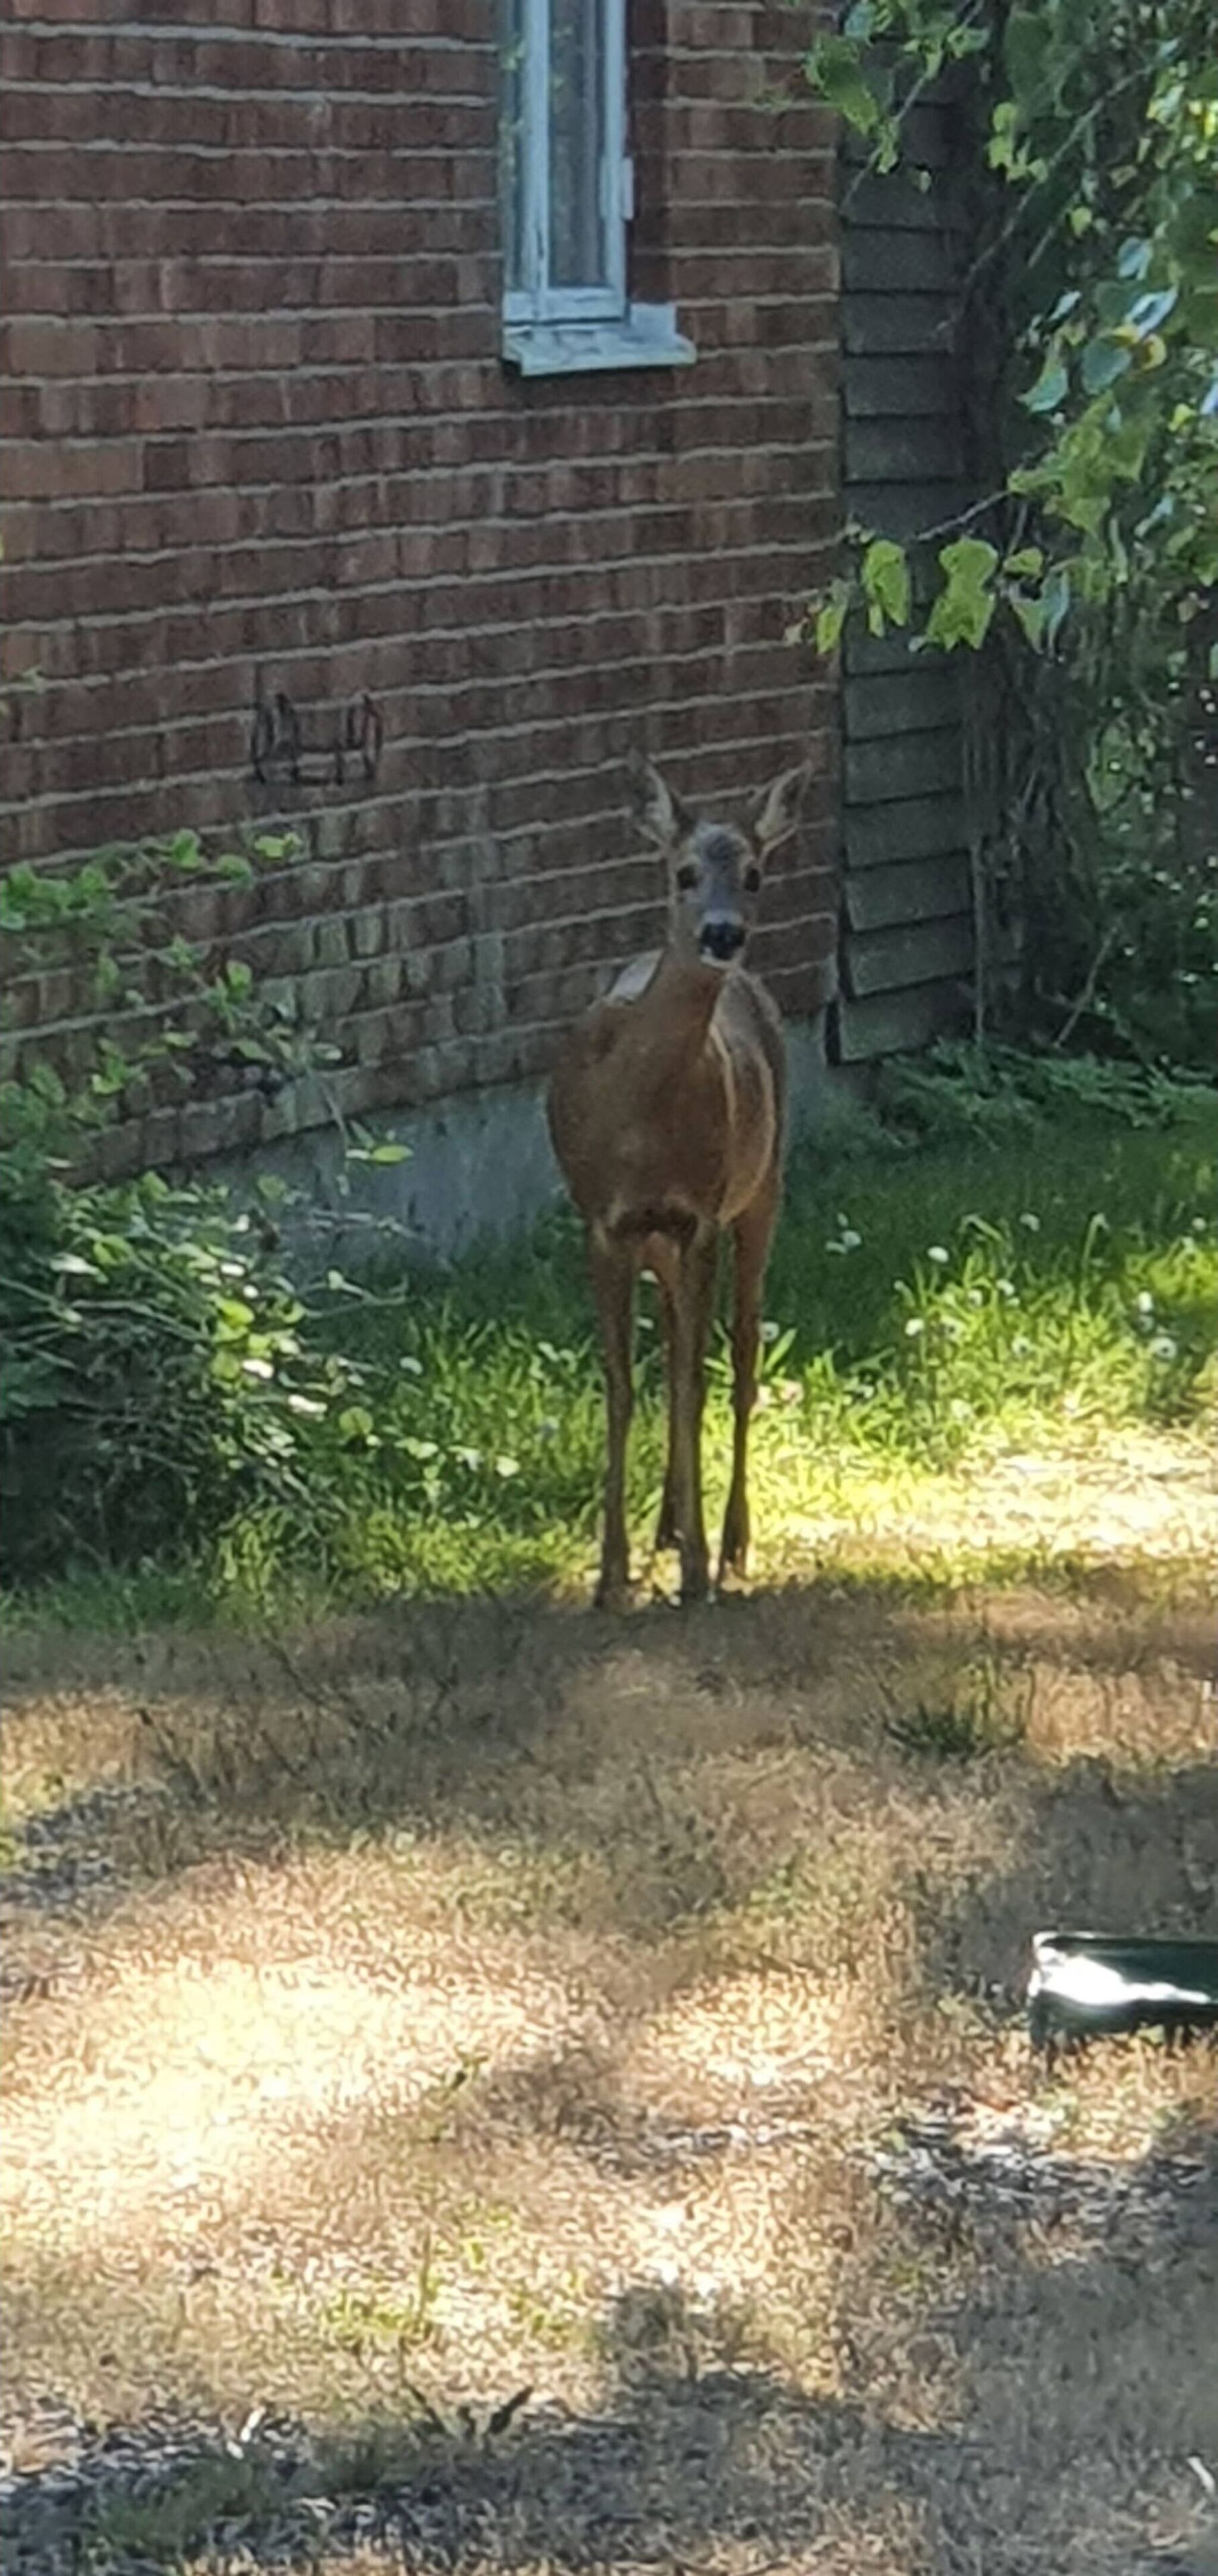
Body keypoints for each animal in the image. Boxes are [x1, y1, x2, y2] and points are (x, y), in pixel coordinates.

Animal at [546, 751, 812, 1610]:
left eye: (756, 873)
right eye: (683, 871)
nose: (722, 933)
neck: (641, 1121)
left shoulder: (699, 1214)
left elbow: (696, 1379)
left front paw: (694, 1568)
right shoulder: (603, 1220)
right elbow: (623, 1383)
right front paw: (610, 1574)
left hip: (763, 1188)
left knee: (741, 1357)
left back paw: (726, 1544)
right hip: (661, 1242)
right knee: (671, 1350)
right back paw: (665, 1526)